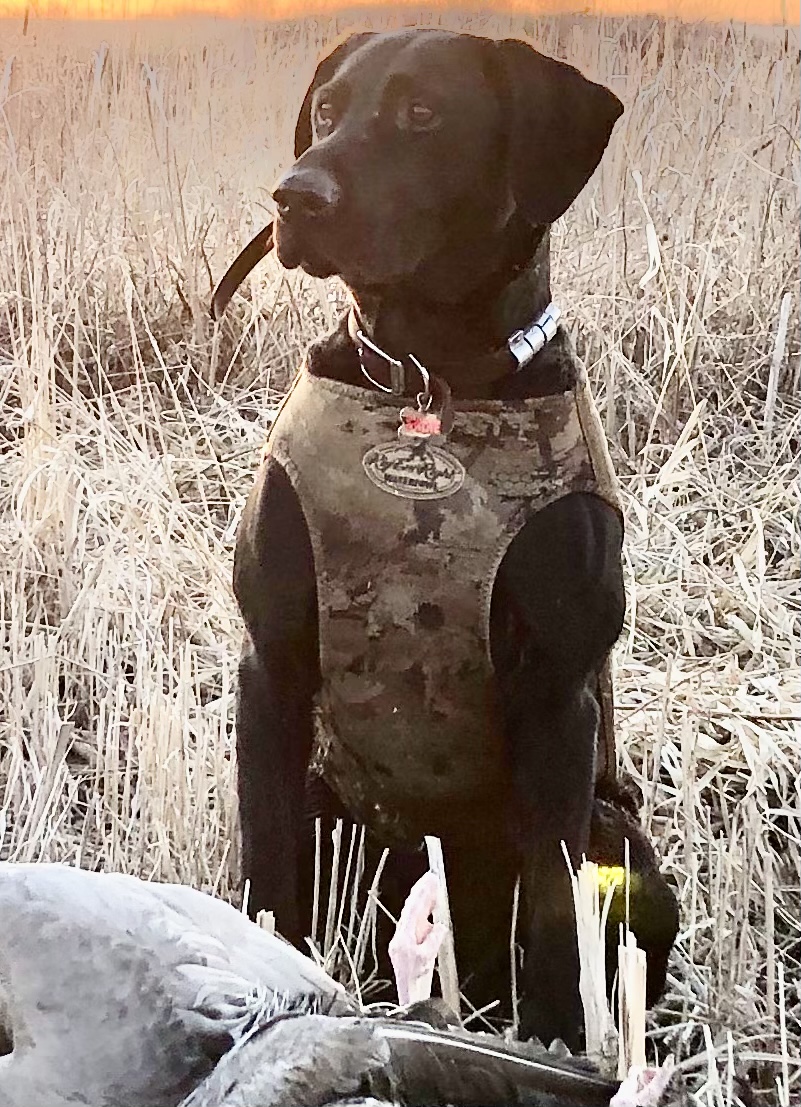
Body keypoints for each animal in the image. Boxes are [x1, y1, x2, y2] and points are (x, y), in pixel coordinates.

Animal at [223, 26, 677, 1045]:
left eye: (422, 112)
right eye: (326, 108)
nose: (294, 195)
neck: (428, 376)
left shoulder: (558, 699)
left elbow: (556, 905)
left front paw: (558, 1042)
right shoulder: (271, 666)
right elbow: (265, 866)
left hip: (624, 839)